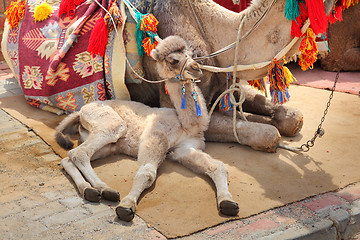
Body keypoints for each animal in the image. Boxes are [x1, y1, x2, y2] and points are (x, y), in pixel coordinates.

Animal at [56, 35, 239, 221]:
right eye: (173, 60)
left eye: (191, 55)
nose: (196, 68)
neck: (185, 125)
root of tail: (80, 112)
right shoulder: (155, 137)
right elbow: (147, 173)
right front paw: (126, 206)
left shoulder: (183, 148)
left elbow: (218, 167)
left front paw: (228, 203)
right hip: (110, 125)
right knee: (78, 152)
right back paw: (103, 189)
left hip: (109, 146)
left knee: (69, 158)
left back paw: (93, 190)